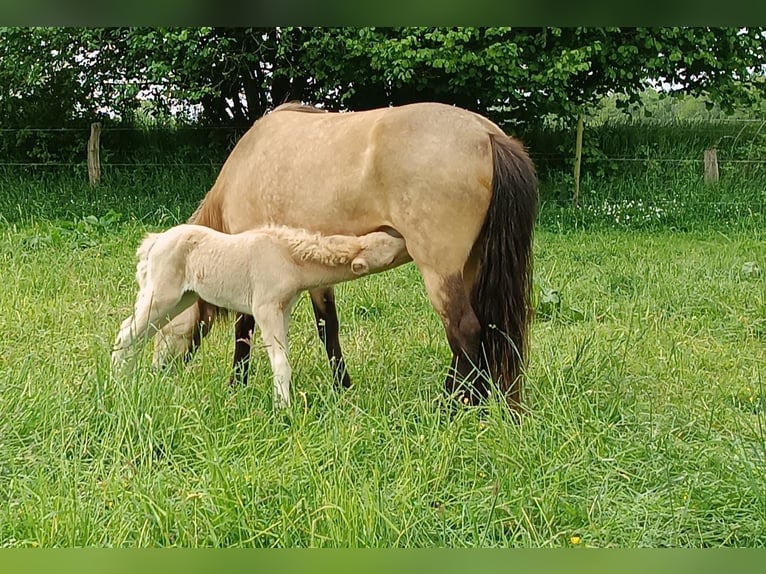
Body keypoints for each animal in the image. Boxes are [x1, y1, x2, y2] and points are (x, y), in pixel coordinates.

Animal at [112, 223, 408, 408]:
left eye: (383, 238)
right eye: (387, 246)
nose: (404, 237)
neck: (288, 256)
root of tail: (154, 242)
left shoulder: (283, 309)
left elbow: (283, 355)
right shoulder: (265, 308)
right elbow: (280, 361)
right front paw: (284, 410)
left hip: (181, 298)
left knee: (139, 333)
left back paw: (133, 381)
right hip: (163, 296)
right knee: (127, 332)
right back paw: (119, 382)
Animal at [154, 101, 540, 412]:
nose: (157, 372)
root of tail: (487, 135)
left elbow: (244, 329)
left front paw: (236, 385)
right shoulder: (311, 272)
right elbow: (329, 327)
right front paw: (343, 388)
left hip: (440, 270)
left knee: (466, 332)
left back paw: (449, 406)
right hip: (473, 265)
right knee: (489, 331)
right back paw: (480, 404)